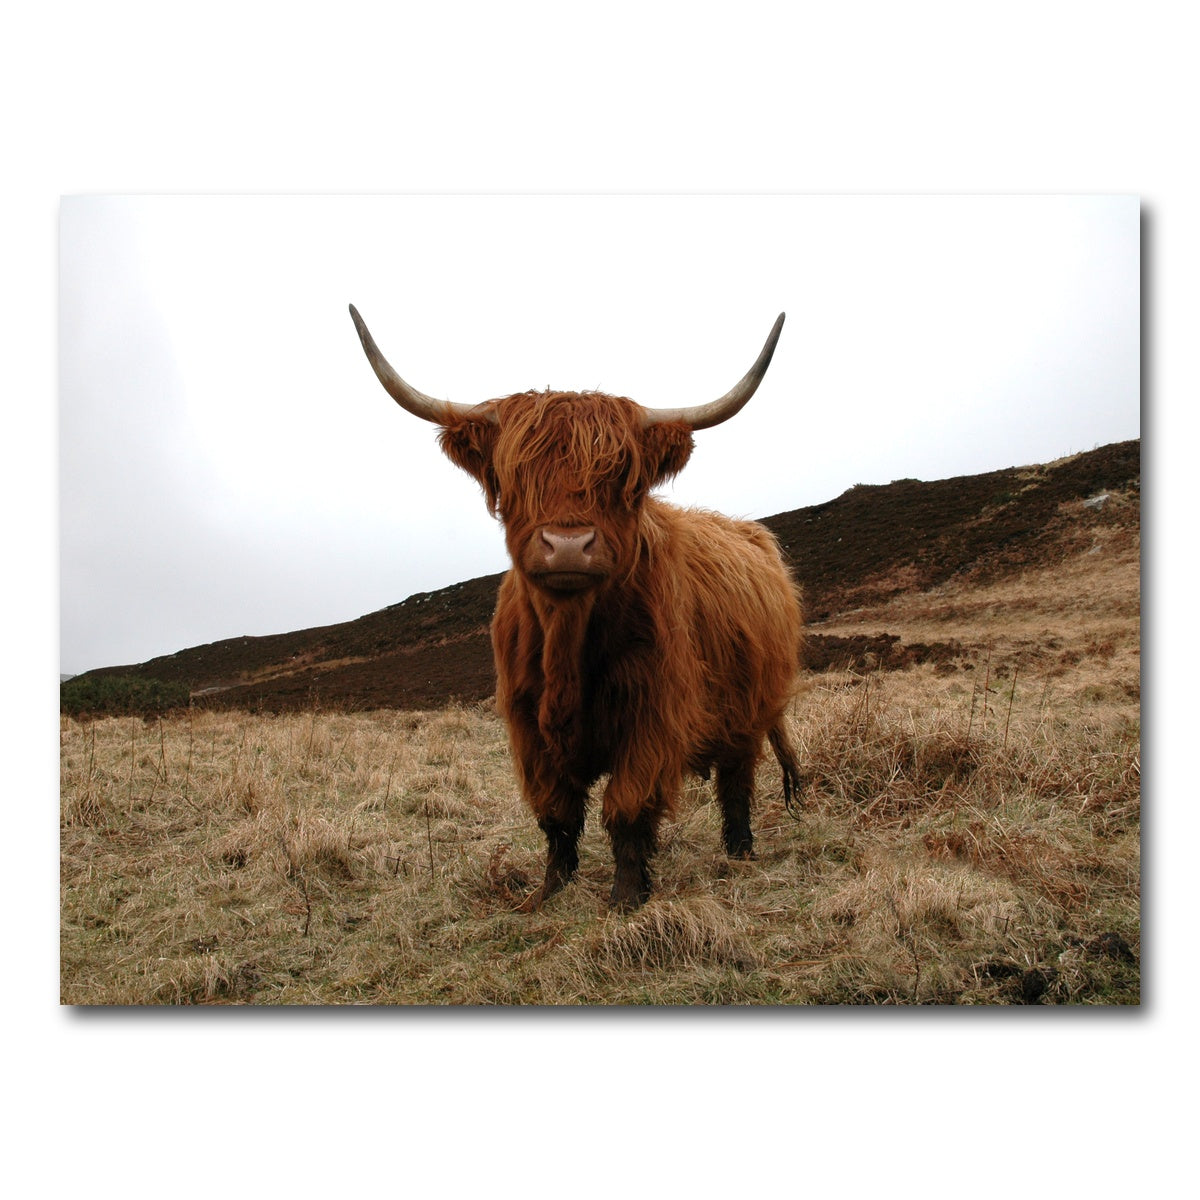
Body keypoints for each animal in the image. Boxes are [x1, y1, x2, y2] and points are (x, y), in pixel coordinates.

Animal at [350, 305, 804, 910]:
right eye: (516, 475)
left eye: (621, 478)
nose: (567, 545)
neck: (566, 645)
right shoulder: (526, 726)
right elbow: (556, 813)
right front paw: (548, 890)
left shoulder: (653, 716)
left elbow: (628, 808)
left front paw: (627, 896)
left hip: (750, 712)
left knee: (737, 781)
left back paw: (741, 852)